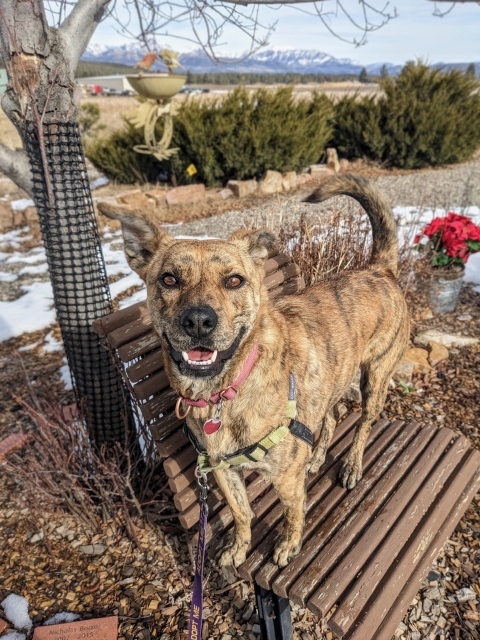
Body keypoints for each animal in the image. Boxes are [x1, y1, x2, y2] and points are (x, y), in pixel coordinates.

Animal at [97, 175, 408, 568]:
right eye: (168, 280)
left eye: (234, 280)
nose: (198, 321)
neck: (226, 391)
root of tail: (377, 268)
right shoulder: (220, 468)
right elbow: (241, 512)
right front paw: (238, 547)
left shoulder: (285, 478)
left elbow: (293, 513)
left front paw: (288, 545)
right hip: (331, 381)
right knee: (333, 416)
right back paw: (317, 456)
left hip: (375, 378)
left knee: (364, 422)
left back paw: (351, 465)